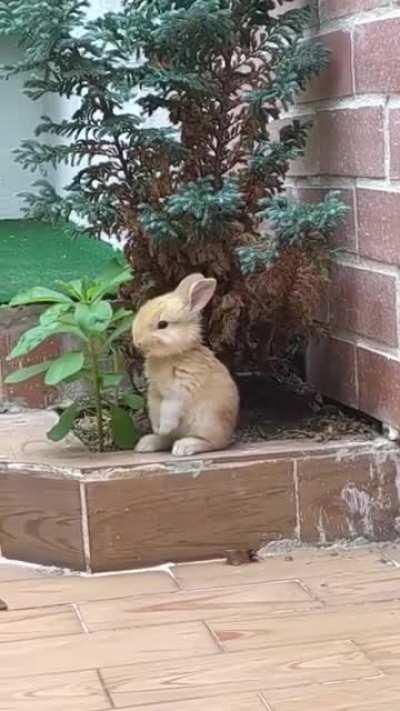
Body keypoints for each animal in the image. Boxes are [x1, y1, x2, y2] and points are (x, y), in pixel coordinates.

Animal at [132, 273, 239, 457]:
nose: (137, 342)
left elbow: (170, 409)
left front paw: (163, 427)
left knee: (212, 443)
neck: (171, 355)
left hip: (207, 422)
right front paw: (157, 428)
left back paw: (184, 447)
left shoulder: (179, 389)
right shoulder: (155, 391)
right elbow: (155, 407)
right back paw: (147, 443)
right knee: (168, 439)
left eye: (163, 324)